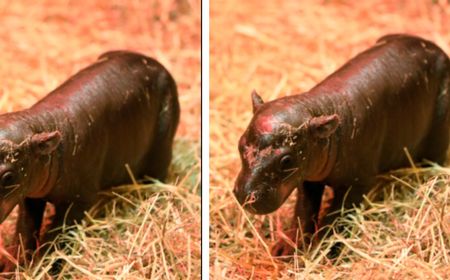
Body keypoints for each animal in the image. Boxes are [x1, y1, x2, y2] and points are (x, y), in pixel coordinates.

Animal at [0, 50, 179, 272]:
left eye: (8, 176)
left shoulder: (79, 200)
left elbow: (58, 236)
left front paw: (47, 268)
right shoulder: (30, 195)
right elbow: (25, 229)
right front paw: (13, 267)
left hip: (162, 151)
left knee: (157, 177)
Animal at [234, 34, 448, 256]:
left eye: (286, 160)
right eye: (241, 144)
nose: (244, 195)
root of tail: (434, 47)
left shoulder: (358, 183)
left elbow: (337, 217)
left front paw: (324, 252)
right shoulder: (308, 177)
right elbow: (304, 211)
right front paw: (285, 250)